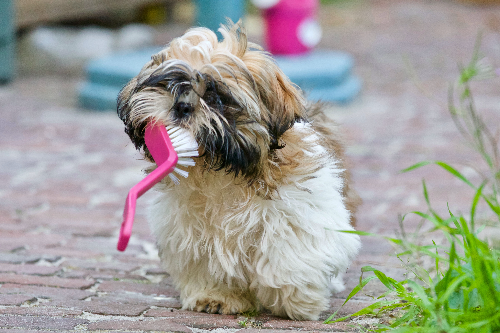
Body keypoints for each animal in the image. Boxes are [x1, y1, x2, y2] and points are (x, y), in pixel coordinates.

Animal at [117, 22, 360, 320]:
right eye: (170, 85)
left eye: (216, 97)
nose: (182, 105)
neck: (218, 169)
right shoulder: (188, 228)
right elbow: (206, 260)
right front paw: (216, 295)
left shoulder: (300, 210)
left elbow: (289, 254)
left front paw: (295, 300)